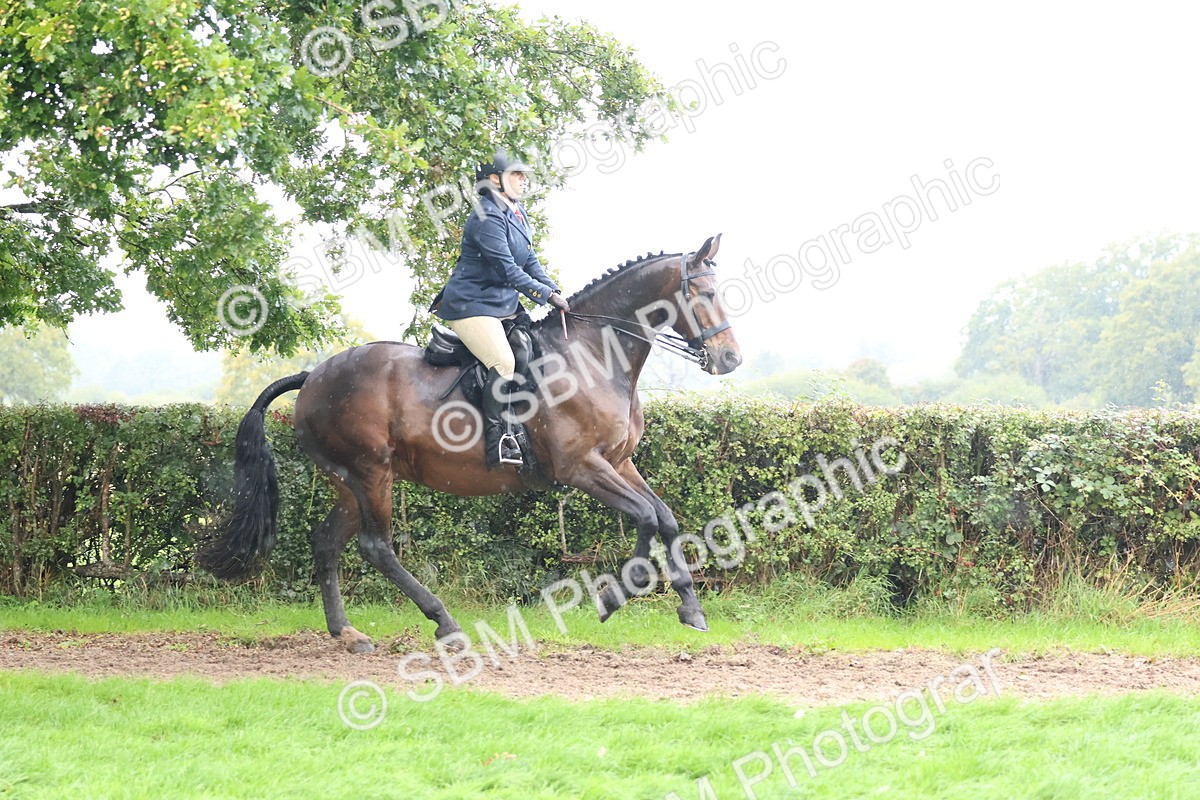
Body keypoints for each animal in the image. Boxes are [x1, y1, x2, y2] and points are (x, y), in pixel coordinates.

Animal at [198, 234, 741, 653]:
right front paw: (613, 599)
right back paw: (445, 623)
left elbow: (665, 518)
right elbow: (646, 518)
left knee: (328, 542)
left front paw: (691, 608)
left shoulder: (619, 462)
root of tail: (312, 376)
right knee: (377, 546)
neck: (592, 355)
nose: (730, 359)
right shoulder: (581, 467)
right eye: (704, 292)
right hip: (371, 474)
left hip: (349, 483)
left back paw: (347, 633)